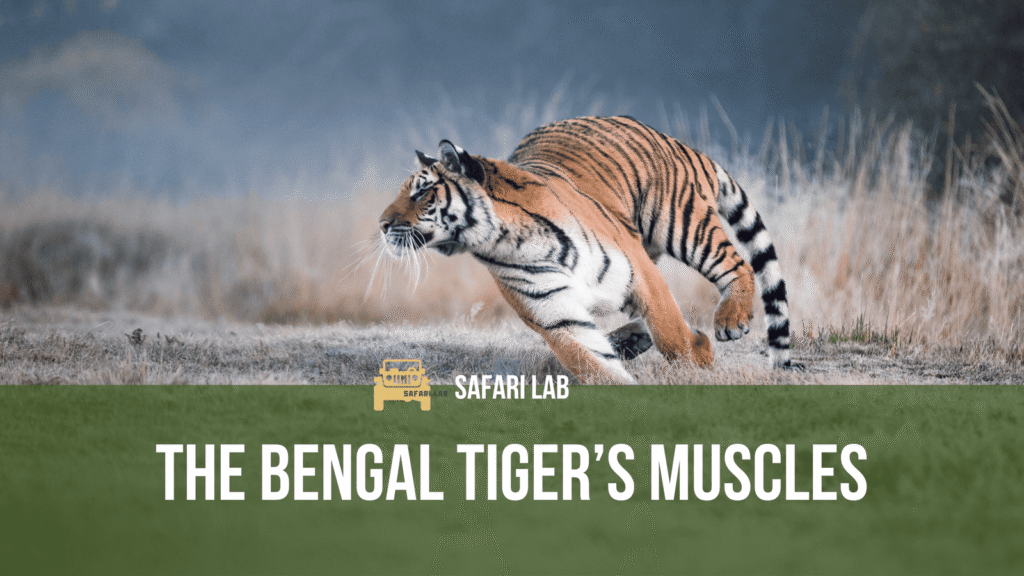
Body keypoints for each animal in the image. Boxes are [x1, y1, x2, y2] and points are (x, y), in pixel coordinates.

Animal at [379, 116, 798, 384]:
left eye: (421, 192)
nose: (381, 224)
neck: (509, 242)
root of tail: (673, 140)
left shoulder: (639, 272)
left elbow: (672, 334)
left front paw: (699, 359)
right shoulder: (556, 315)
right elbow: (593, 362)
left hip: (680, 223)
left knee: (737, 263)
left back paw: (730, 320)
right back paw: (631, 339)